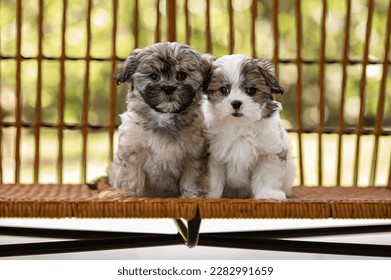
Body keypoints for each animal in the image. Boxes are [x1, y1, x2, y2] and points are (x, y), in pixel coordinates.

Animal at [108, 42, 210, 198]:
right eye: (154, 76)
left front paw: (191, 195)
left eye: (182, 75)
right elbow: (131, 175)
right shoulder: (132, 151)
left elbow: (191, 177)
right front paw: (129, 193)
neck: (163, 119)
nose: (168, 88)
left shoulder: (194, 155)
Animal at [204, 53, 296, 200]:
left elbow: (266, 174)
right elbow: (214, 176)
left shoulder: (268, 152)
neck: (240, 125)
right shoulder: (214, 153)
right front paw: (211, 194)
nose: (236, 103)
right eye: (224, 90)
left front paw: (267, 193)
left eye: (251, 90)